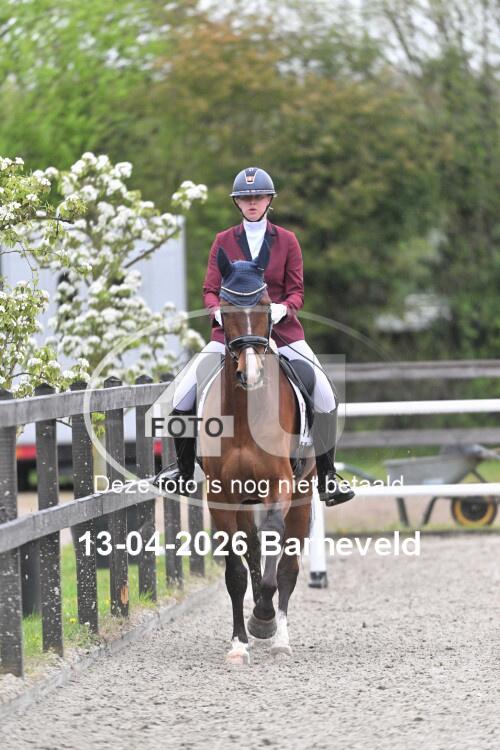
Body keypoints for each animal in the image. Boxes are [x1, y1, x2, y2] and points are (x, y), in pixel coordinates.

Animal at [199, 242, 316, 665]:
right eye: (226, 308)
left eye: (266, 305)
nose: (250, 374)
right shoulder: (220, 496)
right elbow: (235, 569)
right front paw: (239, 642)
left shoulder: (279, 486)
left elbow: (274, 554)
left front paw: (263, 618)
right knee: (250, 551)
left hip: (302, 496)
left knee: (288, 564)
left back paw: (278, 636)